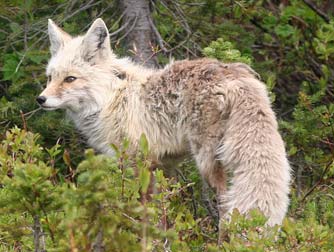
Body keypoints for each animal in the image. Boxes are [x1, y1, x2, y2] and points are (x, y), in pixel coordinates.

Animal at [37, 17, 290, 226]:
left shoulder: (138, 162)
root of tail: (234, 76)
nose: (41, 99)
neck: (111, 99)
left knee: (225, 203)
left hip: (207, 161)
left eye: (70, 79)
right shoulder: (164, 165)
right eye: (50, 78)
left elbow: (143, 211)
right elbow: (164, 209)